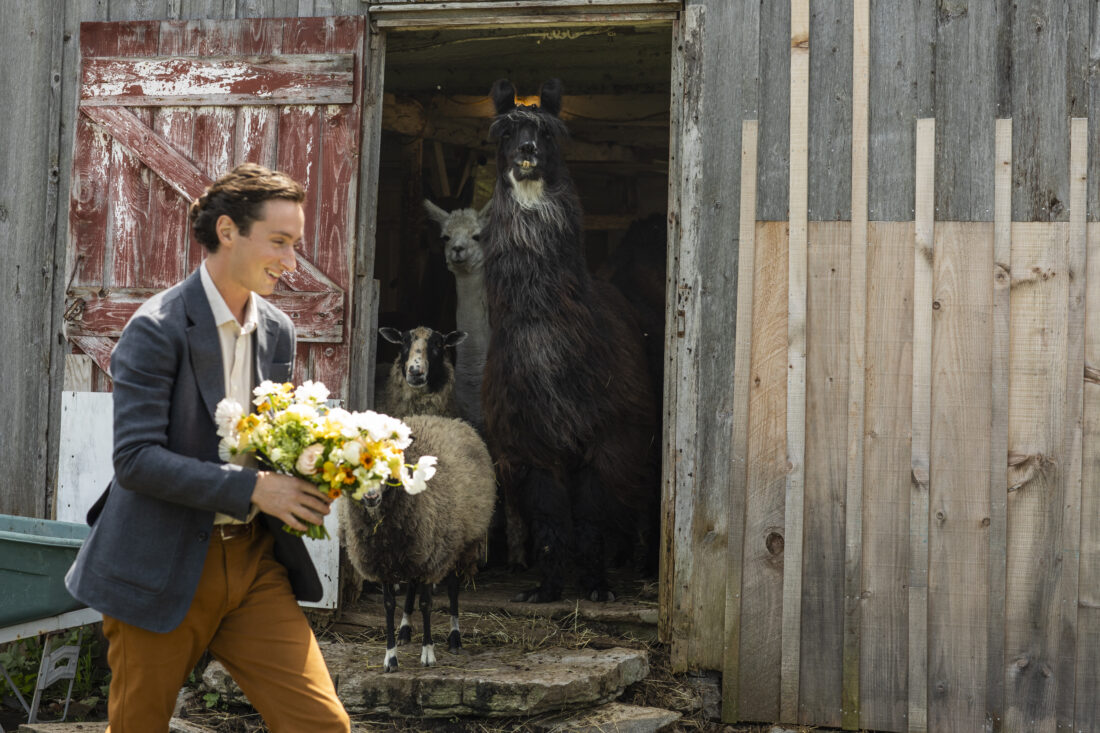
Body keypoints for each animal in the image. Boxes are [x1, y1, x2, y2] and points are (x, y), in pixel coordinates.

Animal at [343, 413, 495, 669]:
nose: (371, 497)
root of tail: (443, 419)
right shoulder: (384, 562)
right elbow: (389, 605)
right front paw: (390, 657)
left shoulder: (431, 559)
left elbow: (426, 604)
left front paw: (428, 652)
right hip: (415, 550)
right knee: (412, 585)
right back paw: (404, 629)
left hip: (456, 544)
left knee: (452, 589)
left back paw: (455, 637)